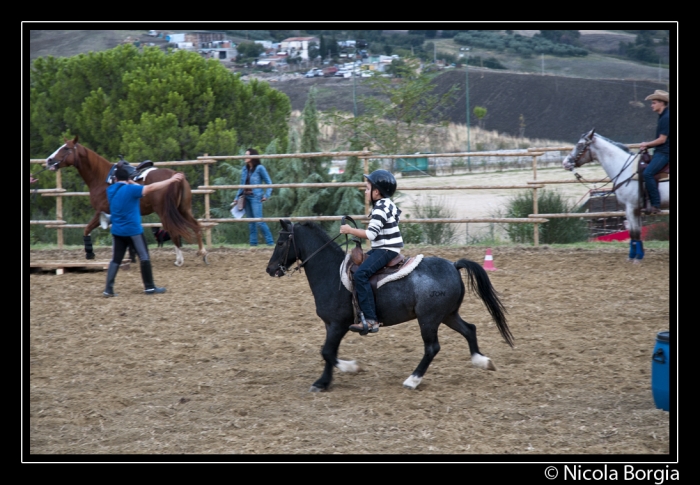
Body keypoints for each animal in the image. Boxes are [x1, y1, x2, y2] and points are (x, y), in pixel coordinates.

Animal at [45, 135, 208, 264]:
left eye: (66, 148)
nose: (49, 160)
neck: (102, 177)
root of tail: (176, 175)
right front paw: (132, 256)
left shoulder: (101, 211)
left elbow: (87, 229)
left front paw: (90, 253)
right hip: (183, 209)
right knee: (196, 226)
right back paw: (202, 253)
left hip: (165, 212)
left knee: (174, 231)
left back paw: (179, 260)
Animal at [266, 218, 512, 390]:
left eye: (281, 242)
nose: (270, 269)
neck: (332, 273)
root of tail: (453, 265)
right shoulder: (331, 325)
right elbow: (329, 352)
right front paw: (324, 381)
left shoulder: (338, 324)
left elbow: (327, 351)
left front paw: (348, 369)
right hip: (448, 315)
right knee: (470, 329)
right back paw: (482, 361)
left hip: (429, 319)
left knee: (432, 348)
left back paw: (412, 380)